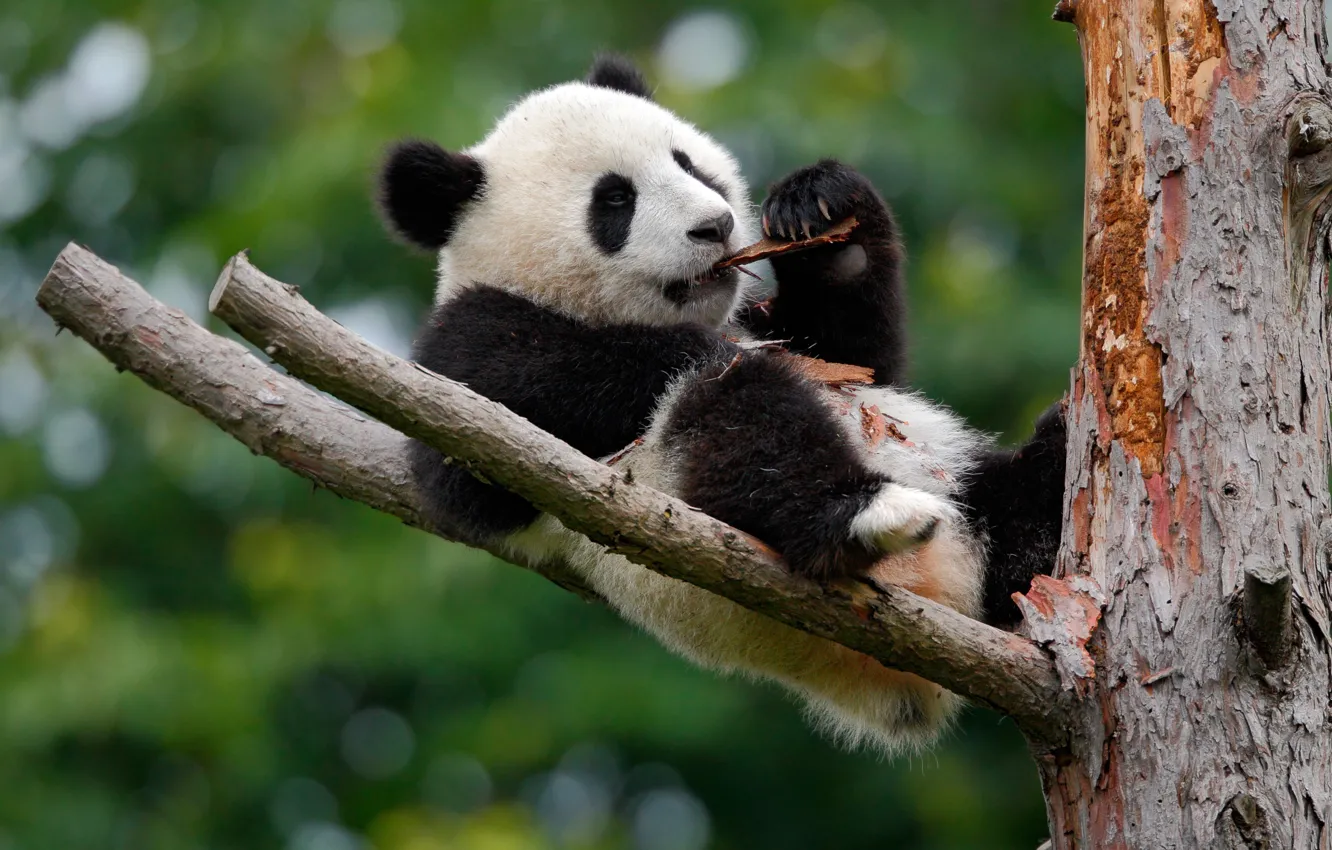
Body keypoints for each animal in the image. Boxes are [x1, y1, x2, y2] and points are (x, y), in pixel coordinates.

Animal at [376, 55, 1066, 755]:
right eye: (615, 200)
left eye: (687, 164)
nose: (716, 225)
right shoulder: (465, 349)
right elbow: (473, 460)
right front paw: (687, 349)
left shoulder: (786, 327)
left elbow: (860, 356)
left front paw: (822, 210)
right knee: (743, 421)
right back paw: (858, 513)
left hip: (959, 485)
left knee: (1008, 503)